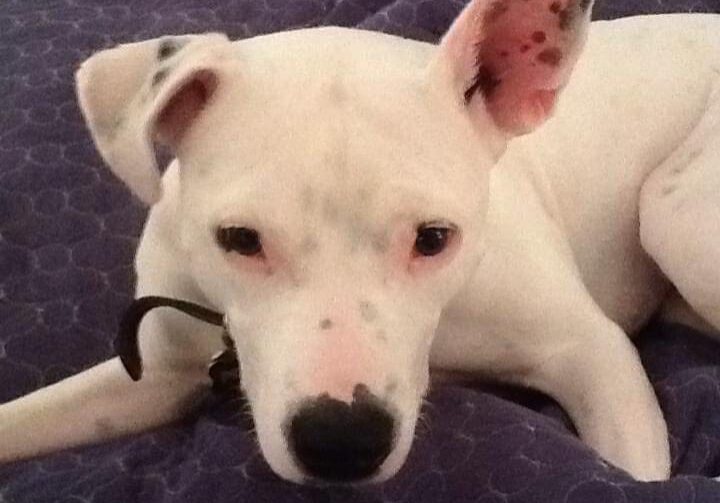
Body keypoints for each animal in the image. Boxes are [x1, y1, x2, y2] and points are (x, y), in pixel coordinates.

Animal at [1, 0, 720, 488]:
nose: (341, 440)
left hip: (670, 214)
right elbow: (23, 419)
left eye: (434, 238)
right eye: (238, 239)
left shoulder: (593, 355)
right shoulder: (154, 375)